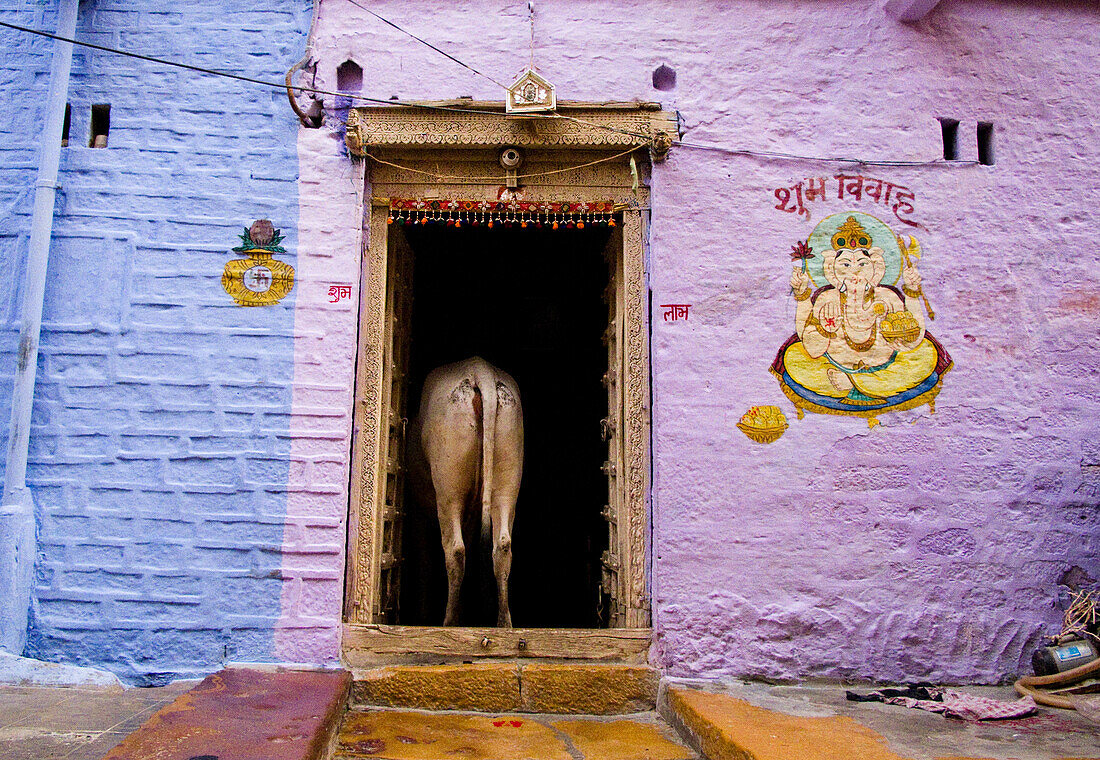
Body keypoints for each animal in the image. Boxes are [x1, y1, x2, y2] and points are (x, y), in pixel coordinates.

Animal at [409, 360, 523, 629]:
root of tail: (480, 370)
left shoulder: (418, 514)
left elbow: (424, 563)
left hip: (448, 485)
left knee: (455, 548)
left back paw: (450, 621)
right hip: (508, 473)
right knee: (503, 544)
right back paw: (504, 622)